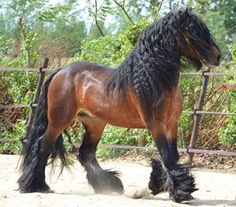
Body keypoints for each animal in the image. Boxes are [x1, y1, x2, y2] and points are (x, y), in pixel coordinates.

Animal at [18, 8, 221, 203]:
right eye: (193, 32)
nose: (218, 56)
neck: (153, 79)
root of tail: (61, 71)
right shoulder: (156, 125)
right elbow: (168, 157)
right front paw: (181, 191)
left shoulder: (171, 125)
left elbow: (173, 157)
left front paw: (157, 186)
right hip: (59, 120)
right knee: (43, 144)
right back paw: (35, 185)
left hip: (94, 123)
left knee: (86, 153)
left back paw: (109, 185)